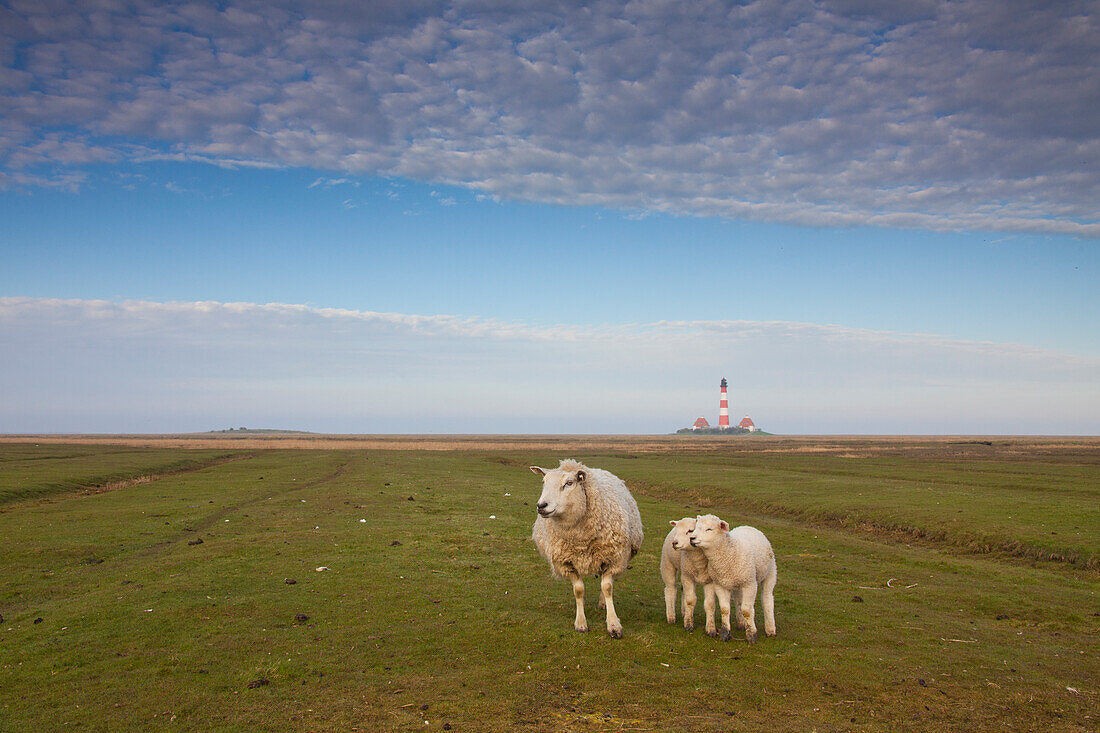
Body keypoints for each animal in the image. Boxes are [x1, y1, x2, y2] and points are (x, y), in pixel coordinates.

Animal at [530, 460, 642, 638]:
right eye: (544, 482)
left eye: (569, 483)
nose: (541, 506)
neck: (580, 540)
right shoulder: (567, 563)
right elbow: (579, 591)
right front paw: (581, 623)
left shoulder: (612, 558)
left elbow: (607, 588)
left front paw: (613, 624)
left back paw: (603, 603)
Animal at [690, 510, 778, 642]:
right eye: (696, 527)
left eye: (709, 529)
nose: (692, 538)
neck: (728, 553)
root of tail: (748, 526)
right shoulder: (720, 584)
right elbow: (725, 609)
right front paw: (725, 633)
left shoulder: (750, 584)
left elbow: (747, 611)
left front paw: (751, 635)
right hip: (737, 581)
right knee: (738, 601)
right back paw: (741, 624)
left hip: (770, 572)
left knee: (767, 599)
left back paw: (770, 629)